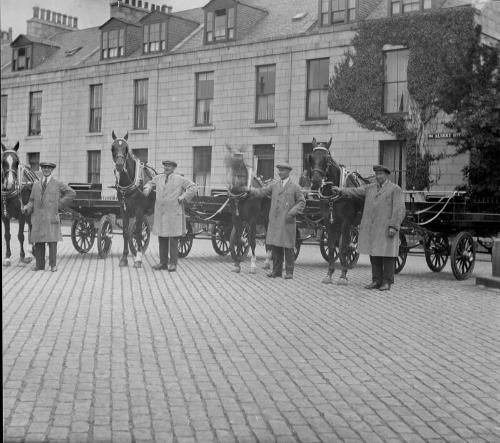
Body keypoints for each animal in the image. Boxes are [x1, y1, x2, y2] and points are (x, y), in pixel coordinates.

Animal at [111, 132, 156, 268]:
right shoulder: (123, 210)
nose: (120, 165)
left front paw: (138, 259)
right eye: (113, 147)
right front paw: (124, 258)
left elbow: (138, 233)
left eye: (126, 148)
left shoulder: (139, 210)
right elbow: (126, 232)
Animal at [306, 137, 366, 286]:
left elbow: (344, 247)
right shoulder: (329, 221)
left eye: (327, 158)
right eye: (310, 157)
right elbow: (332, 246)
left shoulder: (346, 222)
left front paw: (343, 275)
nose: (316, 182)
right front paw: (329, 274)